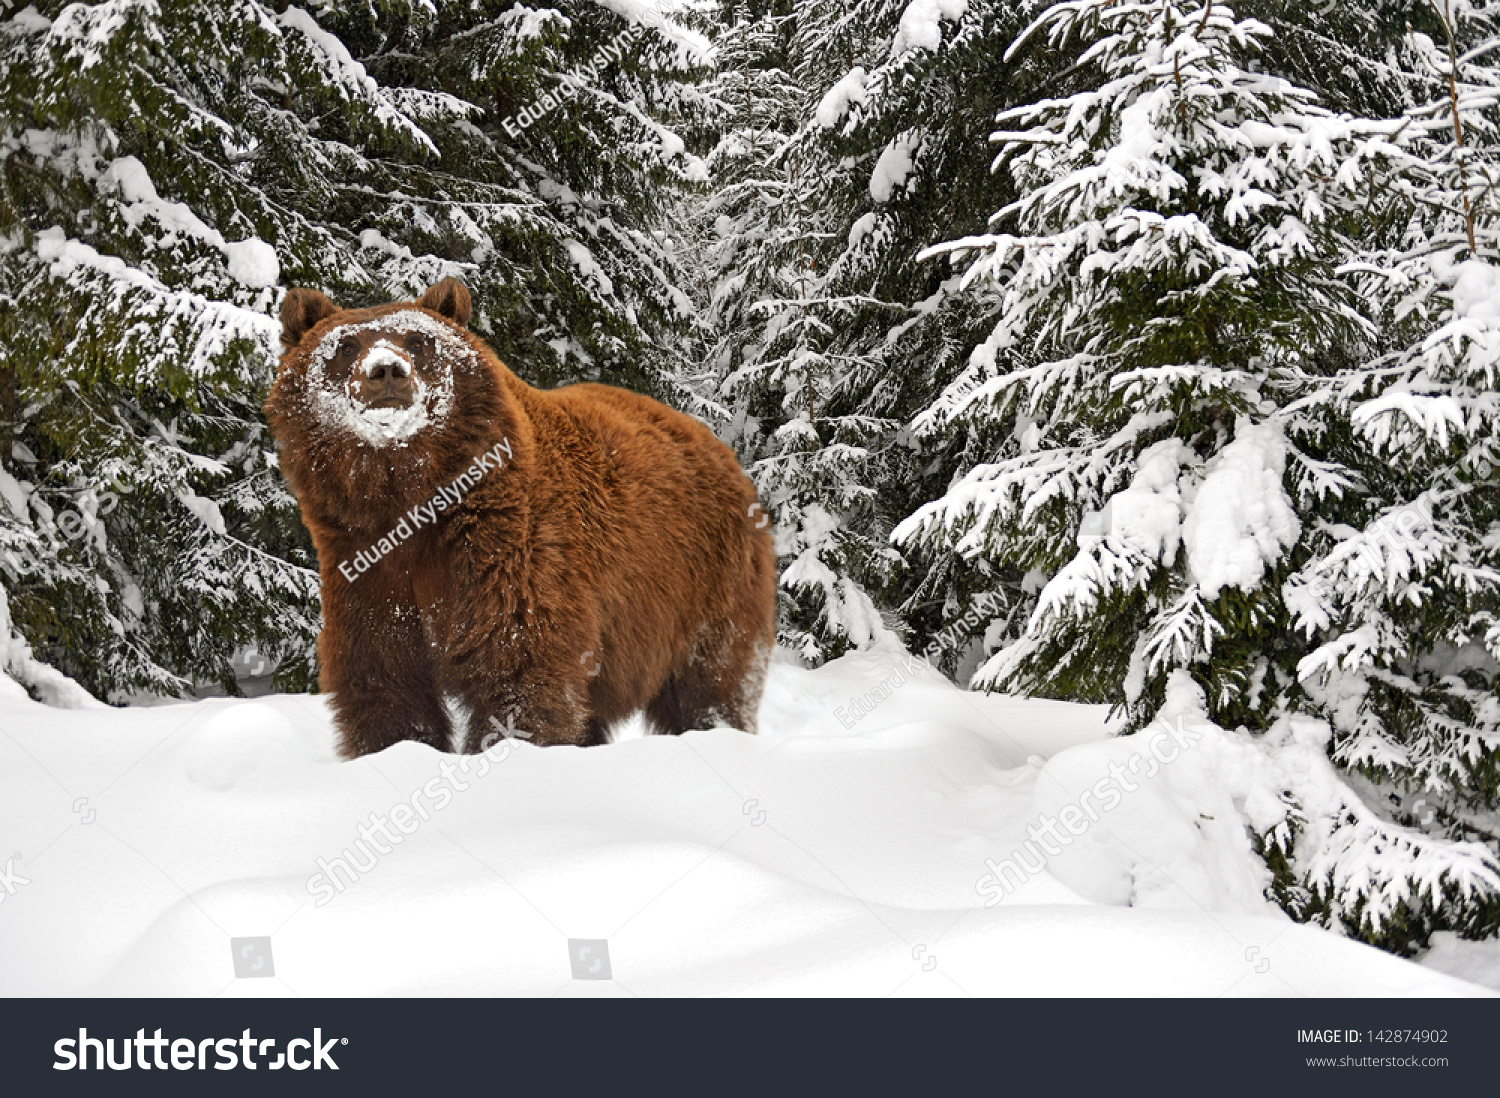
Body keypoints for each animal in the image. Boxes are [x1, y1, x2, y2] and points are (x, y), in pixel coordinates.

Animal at [264, 279, 774, 759]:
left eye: (418, 340)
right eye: (346, 345)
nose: (386, 370)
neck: (410, 496)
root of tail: (719, 449)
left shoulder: (508, 548)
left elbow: (519, 665)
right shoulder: (364, 564)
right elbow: (385, 679)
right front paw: (398, 749)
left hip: (702, 581)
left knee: (711, 680)